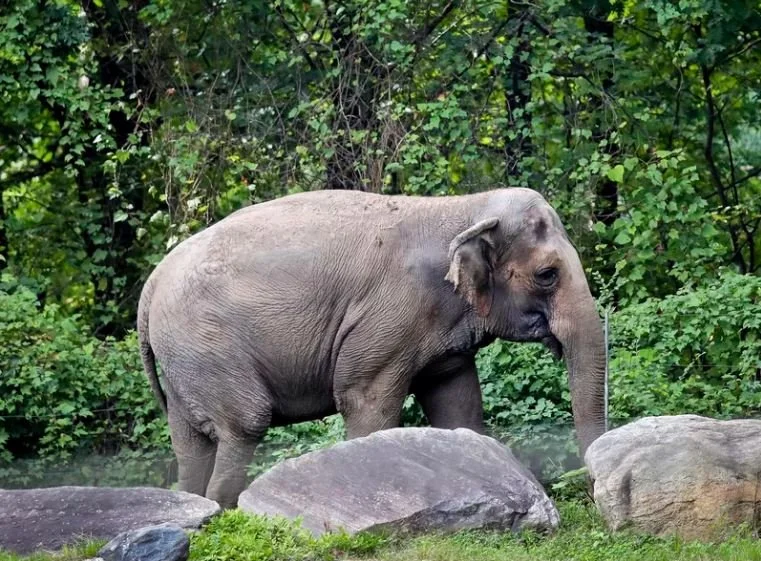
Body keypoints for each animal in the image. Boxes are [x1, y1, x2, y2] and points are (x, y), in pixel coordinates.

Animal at [137, 187, 606, 508]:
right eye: (547, 275)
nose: (589, 490)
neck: (463, 206)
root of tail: (152, 284)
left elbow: (458, 406)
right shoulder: (389, 318)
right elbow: (366, 402)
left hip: (184, 360)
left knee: (190, 444)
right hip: (207, 346)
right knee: (244, 425)